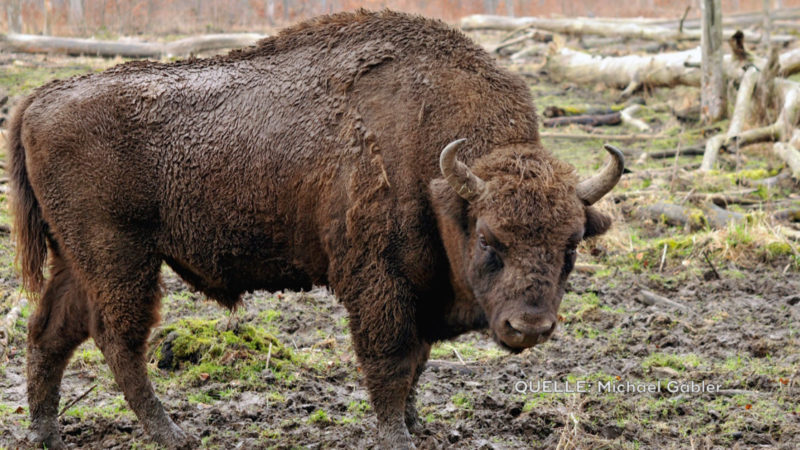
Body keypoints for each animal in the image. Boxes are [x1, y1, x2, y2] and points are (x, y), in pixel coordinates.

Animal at [9, 8, 620, 448]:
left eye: (571, 246)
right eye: (490, 238)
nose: (530, 326)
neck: (438, 174)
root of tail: (40, 97)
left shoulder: (419, 289)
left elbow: (416, 362)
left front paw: (416, 424)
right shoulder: (379, 282)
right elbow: (390, 360)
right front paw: (396, 436)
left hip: (77, 259)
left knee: (50, 332)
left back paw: (45, 433)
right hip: (121, 258)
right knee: (117, 340)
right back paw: (172, 434)